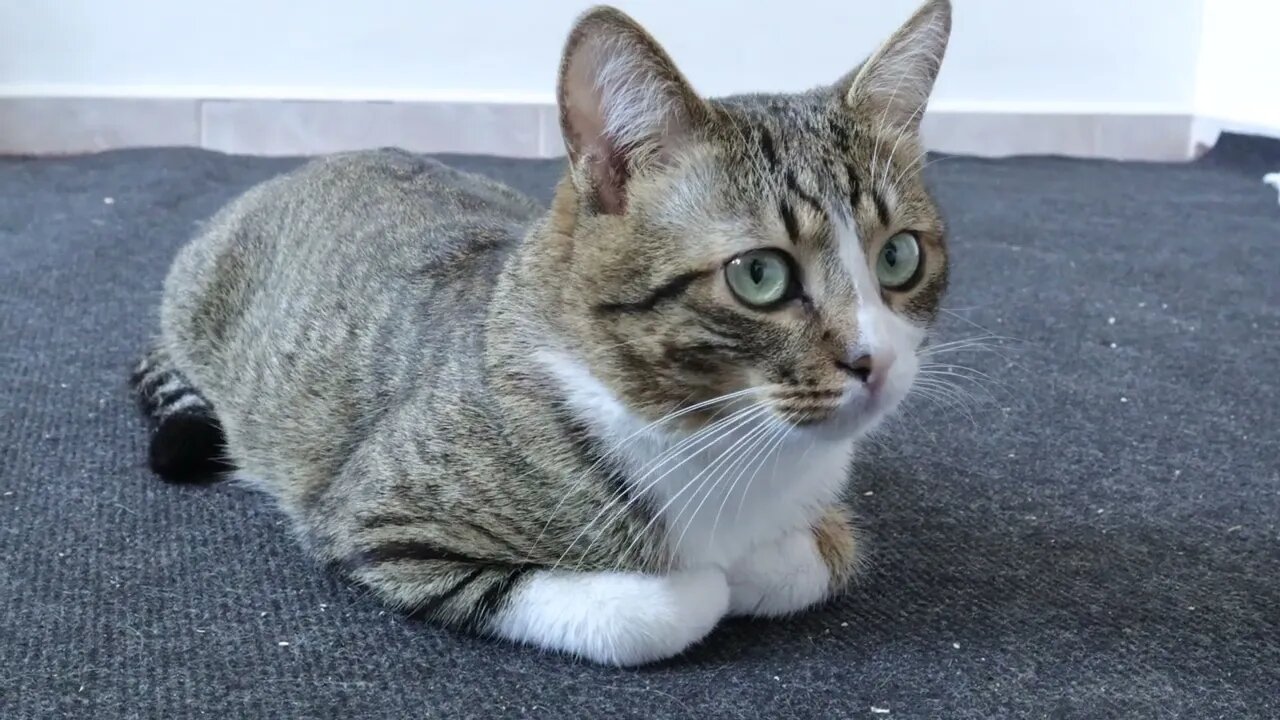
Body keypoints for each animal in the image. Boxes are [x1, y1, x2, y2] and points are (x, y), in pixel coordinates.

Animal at [132, 0, 952, 666]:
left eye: (899, 257)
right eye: (760, 275)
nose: (877, 361)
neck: (721, 439)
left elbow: (822, 555)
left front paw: (767, 559)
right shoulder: (379, 519)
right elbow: (660, 608)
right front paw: (707, 581)